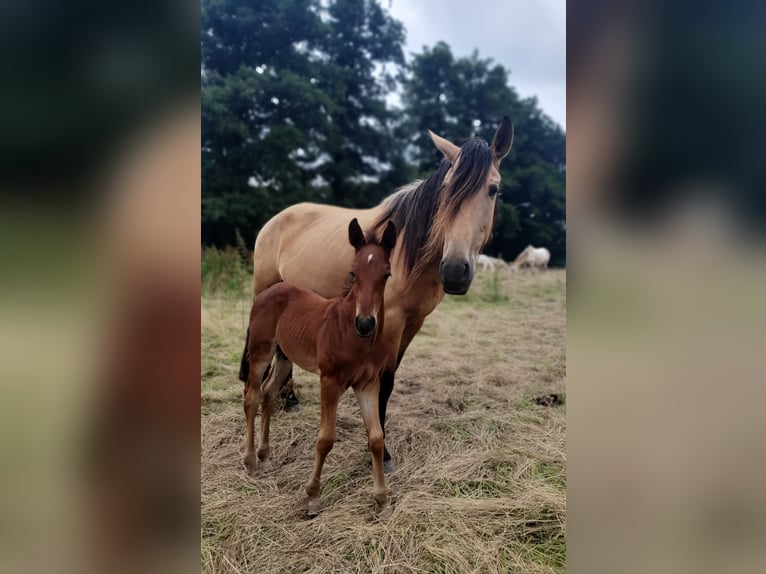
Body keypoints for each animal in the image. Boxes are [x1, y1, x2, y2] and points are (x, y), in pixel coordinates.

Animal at [242, 218, 400, 516]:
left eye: (386, 275)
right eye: (352, 273)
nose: (365, 324)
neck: (351, 335)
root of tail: (269, 290)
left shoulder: (367, 383)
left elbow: (376, 437)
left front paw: (383, 499)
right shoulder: (330, 381)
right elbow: (326, 438)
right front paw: (313, 498)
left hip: (285, 356)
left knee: (269, 393)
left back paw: (265, 458)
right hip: (260, 352)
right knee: (252, 397)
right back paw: (250, 462)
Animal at [252, 117, 516, 472]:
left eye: (493, 189)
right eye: (447, 189)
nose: (454, 271)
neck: (410, 250)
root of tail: (275, 220)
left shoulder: (413, 323)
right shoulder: (389, 321)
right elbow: (385, 382)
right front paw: (383, 453)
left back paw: (289, 400)